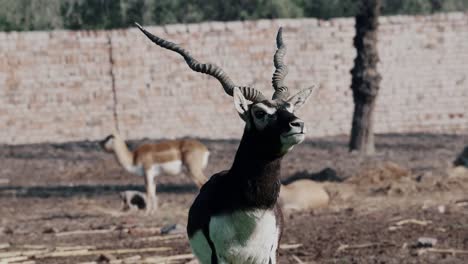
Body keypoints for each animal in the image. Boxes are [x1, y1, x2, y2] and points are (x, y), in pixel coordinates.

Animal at [137, 24, 316, 264]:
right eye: (259, 113)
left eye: (290, 108)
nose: (298, 124)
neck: (251, 211)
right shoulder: (219, 257)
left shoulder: (268, 255)